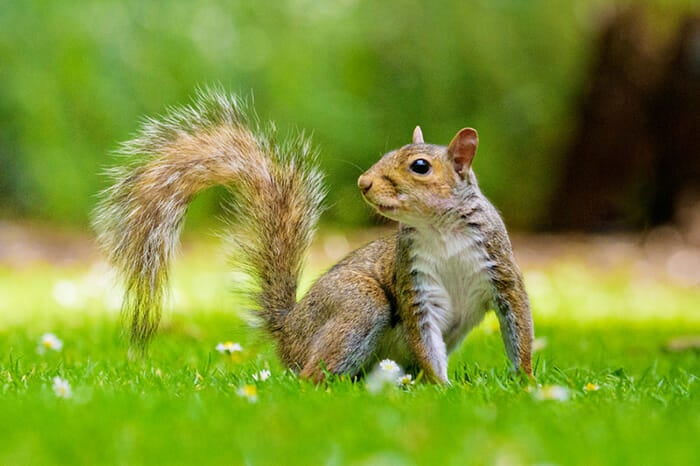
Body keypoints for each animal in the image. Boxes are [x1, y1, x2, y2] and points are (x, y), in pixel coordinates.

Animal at [94, 88, 534, 383]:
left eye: (420, 166)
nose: (363, 183)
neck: (439, 229)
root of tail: (289, 329)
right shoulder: (415, 282)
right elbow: (425, 339)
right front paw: (443, 387)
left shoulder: (501, 271)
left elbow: (520, 326)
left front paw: (525, 381)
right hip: (359, 302)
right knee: (309, 376)